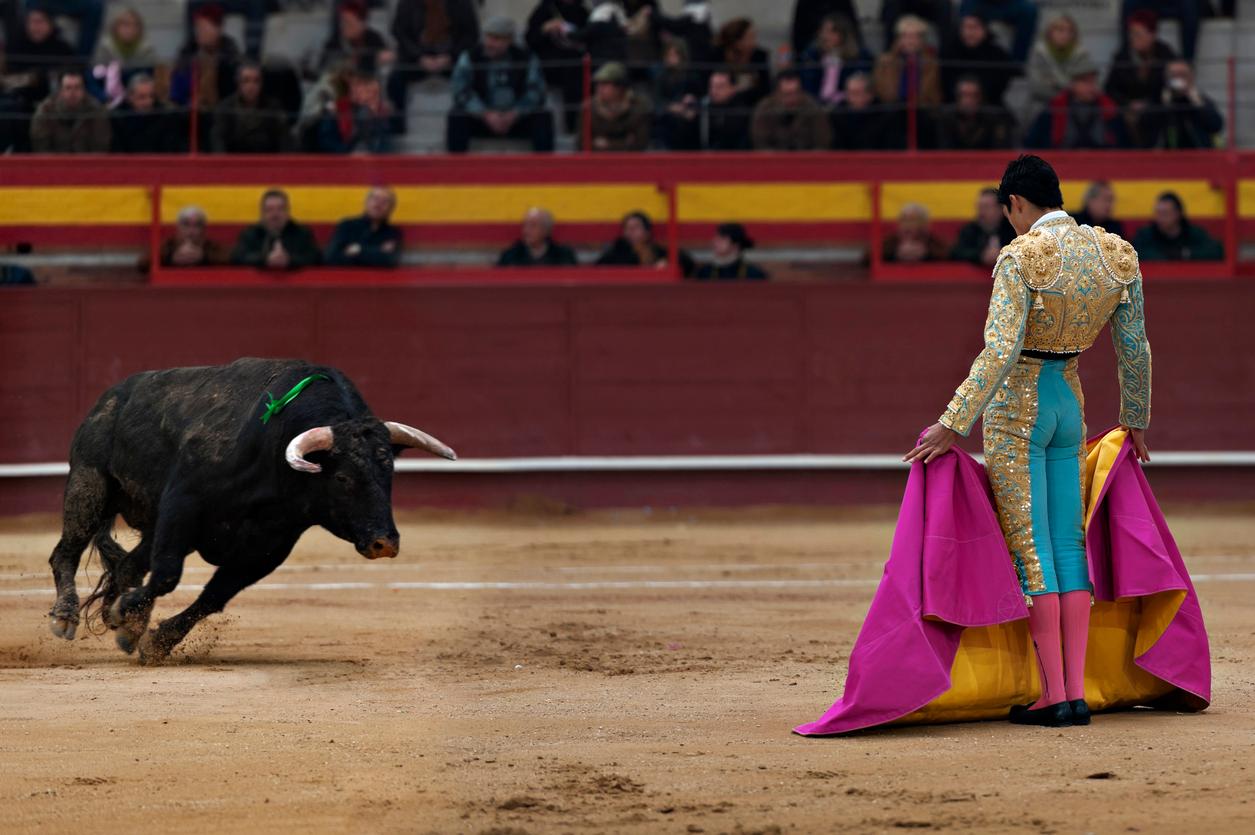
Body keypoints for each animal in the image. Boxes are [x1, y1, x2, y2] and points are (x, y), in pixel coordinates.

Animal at [46, 359, 456, 662]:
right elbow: (167, 576)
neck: (270, 453)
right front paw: (129, 620)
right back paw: (66, 617)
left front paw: (150, 638)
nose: (384, 543)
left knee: (128, 565)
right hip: (89, 483)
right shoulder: (182, 505)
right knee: (66, 553)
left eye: (389, 474)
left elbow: (213, 596)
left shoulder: (269, 545)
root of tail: (111, 397)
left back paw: (117, 615)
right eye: (342, 477)